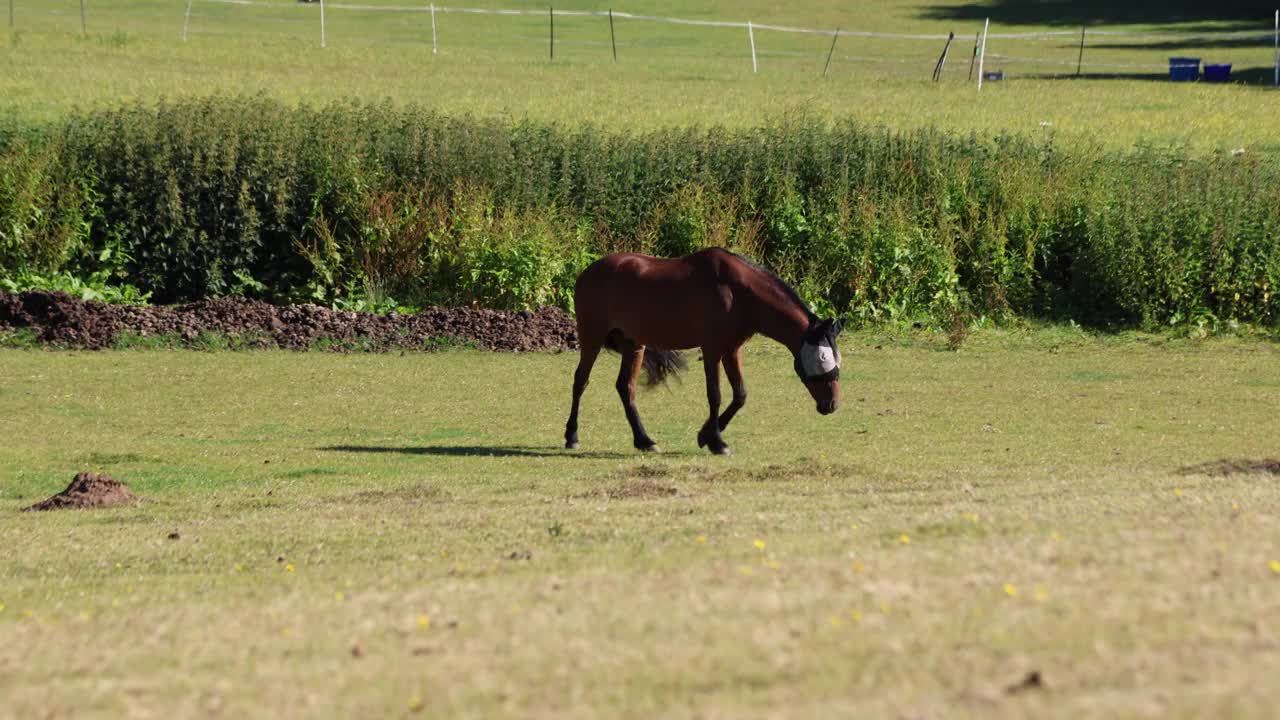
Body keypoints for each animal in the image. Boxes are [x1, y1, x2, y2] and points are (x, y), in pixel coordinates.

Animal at [565, 245, 844, 453]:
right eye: (822, 356)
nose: (831, 404)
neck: (736, 292)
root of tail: (587, 273)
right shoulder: (711, 349)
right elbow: (715, 394)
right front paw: (717, 441)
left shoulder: (732, 350)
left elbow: (740, 394)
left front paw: (706, 435)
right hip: (592, 338)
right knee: (580, 381)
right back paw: (572, 436)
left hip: (635, 344)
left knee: (626, 387)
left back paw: (644, 440)